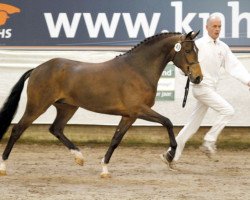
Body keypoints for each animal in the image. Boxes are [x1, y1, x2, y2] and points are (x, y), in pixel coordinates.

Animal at [0, 30, 201, 177]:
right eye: (188, 51)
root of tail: (37, 69)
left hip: (67, 107)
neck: (138, 69)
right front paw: (169, 156)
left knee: (55, 128)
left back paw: (79, 157)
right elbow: (168, 122)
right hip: (37, 106)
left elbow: (115, 140)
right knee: (17, 129)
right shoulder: (138, 110)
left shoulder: (129, 116)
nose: (198, 77)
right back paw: (3, 166)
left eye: (197, 50)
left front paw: (104, 169)